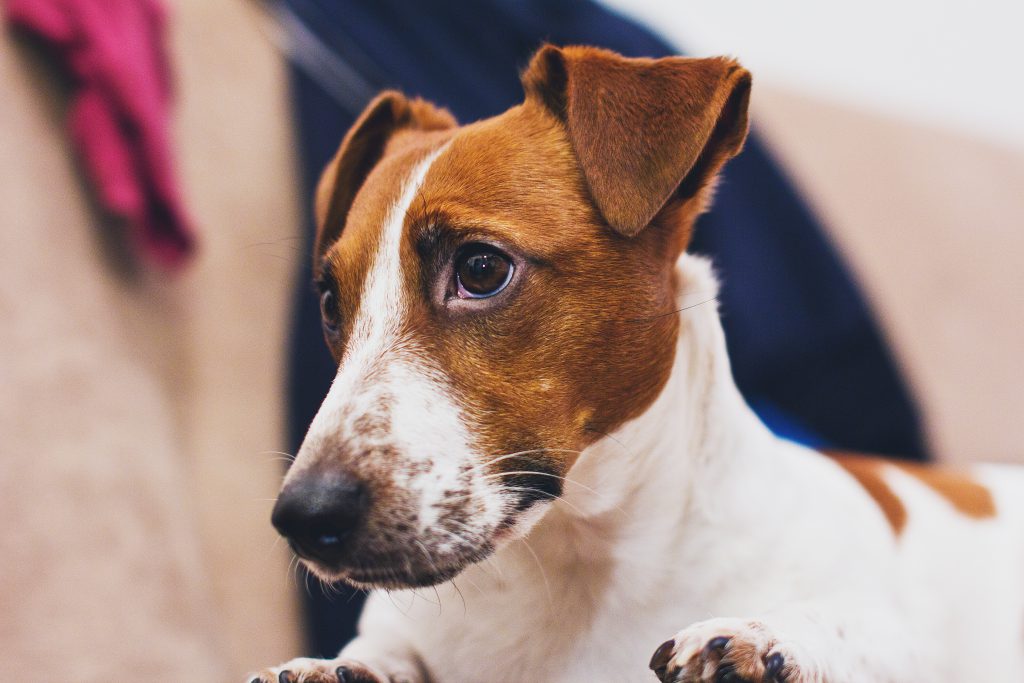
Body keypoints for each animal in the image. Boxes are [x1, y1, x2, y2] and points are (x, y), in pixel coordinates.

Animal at [247, 45, 1024, 679]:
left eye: (480, 268)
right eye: (330, 304)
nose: (303, 518)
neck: (576, 568)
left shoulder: (898, 631)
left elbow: (851, 628)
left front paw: (766, 636)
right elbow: (378, 648)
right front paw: (335, 666)